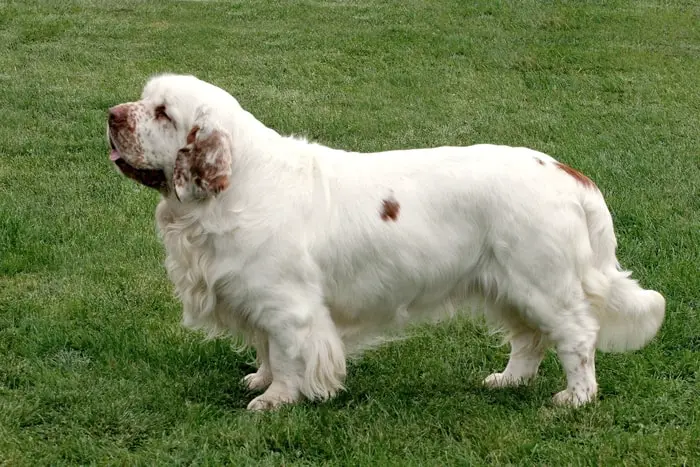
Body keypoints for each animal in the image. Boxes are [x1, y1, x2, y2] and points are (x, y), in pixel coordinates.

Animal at [106, 75, 664, 412]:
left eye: (163, 113)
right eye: (144, 99)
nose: (111, 114)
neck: (235, 186)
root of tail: (568, 174)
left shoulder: (288, 306)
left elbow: (286, 354)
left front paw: (274, 400)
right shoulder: (255, 297)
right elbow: (265, 349)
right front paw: (259, 381)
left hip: (542, 284)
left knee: (576, 337)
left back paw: (575, 398)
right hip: (507, 285)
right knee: (529, 340)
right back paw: (507, 381)